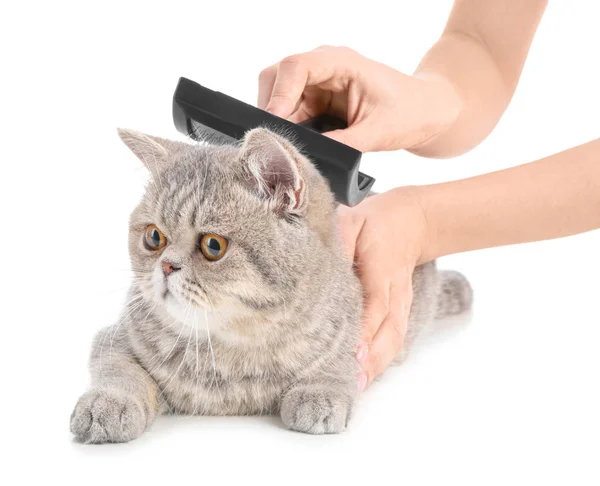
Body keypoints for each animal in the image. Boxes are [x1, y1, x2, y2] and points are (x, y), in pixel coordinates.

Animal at [70, 128, 472, 444]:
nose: (167, 265)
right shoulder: (114, 336)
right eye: (154, 237)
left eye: (213, 245)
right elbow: (120, 371)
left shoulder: (356, 333)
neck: (230, 348)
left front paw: (319, 392)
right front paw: (107, 403)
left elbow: (338, 364)